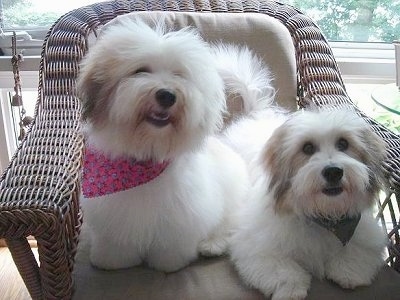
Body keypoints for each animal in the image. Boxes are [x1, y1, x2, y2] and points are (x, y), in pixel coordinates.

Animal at [76, 18, 248, 272]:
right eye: (140, 70)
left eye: (179, 75)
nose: (167, 95)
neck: (147, 153)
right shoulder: (112, 215)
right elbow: (116, 243)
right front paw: (112, 260)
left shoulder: (183, 215)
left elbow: (171, 245)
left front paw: (168, 263)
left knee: (230, 224)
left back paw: (211, 244)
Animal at [228, 105, 388, 298]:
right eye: (307, 148)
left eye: (343, 144)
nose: (333, 172)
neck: (324, 218)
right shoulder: (256, 246)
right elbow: (281, 267)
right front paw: (292, 288)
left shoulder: (366, 235)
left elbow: (357, 252)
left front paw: (348, 272)